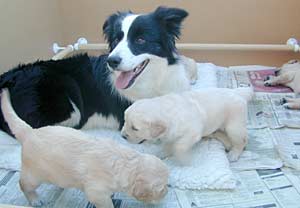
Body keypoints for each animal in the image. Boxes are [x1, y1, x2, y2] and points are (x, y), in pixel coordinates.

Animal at [0, 6, 192, 135]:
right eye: (116, 40)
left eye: (140, 39)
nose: (111, 61)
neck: (154, 81)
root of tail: (10, 75)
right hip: (66, 95)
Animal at [0, 88, 169, 207]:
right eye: (161, 189)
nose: (167, 193)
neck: (127, 164)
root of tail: (29, 131)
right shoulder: (96, 192)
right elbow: (105, 203)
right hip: (33, 174)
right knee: (23, 184)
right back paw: (35, 200)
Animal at [120, 87, 252, 162]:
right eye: (124, 121)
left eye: (135, 128)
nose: (122, 136)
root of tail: (237, 92)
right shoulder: (169, 135)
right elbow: (168, 145)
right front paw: (162, 153)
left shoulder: (192, 132)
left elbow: (179, 146)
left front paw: (184, 159)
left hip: (234, 126)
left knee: (242, 140)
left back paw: (234, 154)